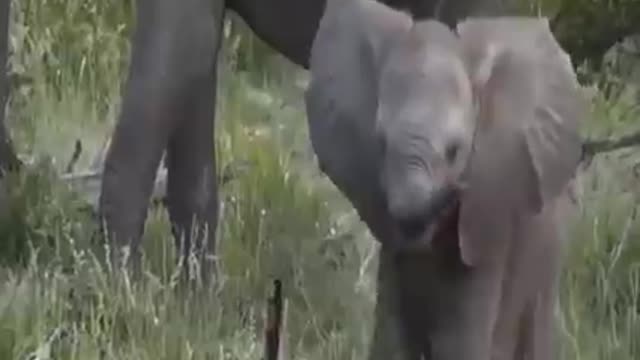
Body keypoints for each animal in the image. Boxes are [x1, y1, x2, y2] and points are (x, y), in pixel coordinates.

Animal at [304, 0, 584, 360]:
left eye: (455, 151)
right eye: (380, 144)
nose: (458, 188)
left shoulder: (489, 222)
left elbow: (458, 342)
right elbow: (391, 338)